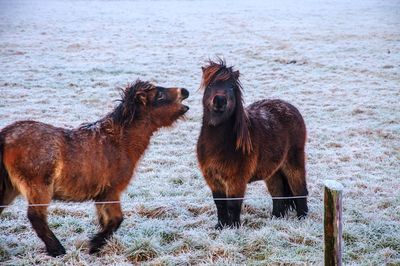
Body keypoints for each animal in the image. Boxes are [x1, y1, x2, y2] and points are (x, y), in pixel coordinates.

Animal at [0, 80, 189, 256]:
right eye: (159, 96)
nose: (185, 91)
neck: (118, 142)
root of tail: (5, 135)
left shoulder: (101, 195)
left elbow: (107, 221)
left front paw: (98, 245)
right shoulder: (111, 191)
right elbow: (116, 220)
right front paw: (94, 245)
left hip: (10, 190)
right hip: (39, 187)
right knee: (36, 217)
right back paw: (57, 250)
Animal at [198, 59, 308, 229]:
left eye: (231, 86)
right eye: (210, 85)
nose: (220, 100)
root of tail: (290, 107)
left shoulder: (236, 179)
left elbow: (233, 205)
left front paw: (234, 228)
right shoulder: (212, 178)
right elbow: (220, 204)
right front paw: (221, 226)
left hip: (293, 163)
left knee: (299, 190)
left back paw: (302, 219)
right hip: (273, 170)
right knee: (278, 193)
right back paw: (276, 218)